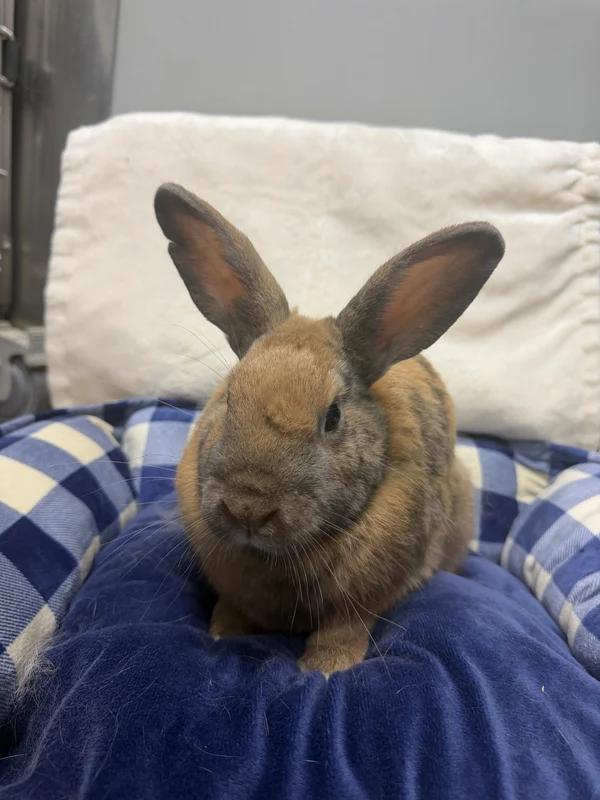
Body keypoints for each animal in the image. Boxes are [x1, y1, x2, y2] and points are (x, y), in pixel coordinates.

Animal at [154, 183, 505, 675]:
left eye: (333, 417)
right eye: (229, 397)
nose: (248, 508)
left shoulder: (363, 600)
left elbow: (342, 630)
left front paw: (324, 669)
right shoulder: (235, 589)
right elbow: (232, 608)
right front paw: (221, 634)